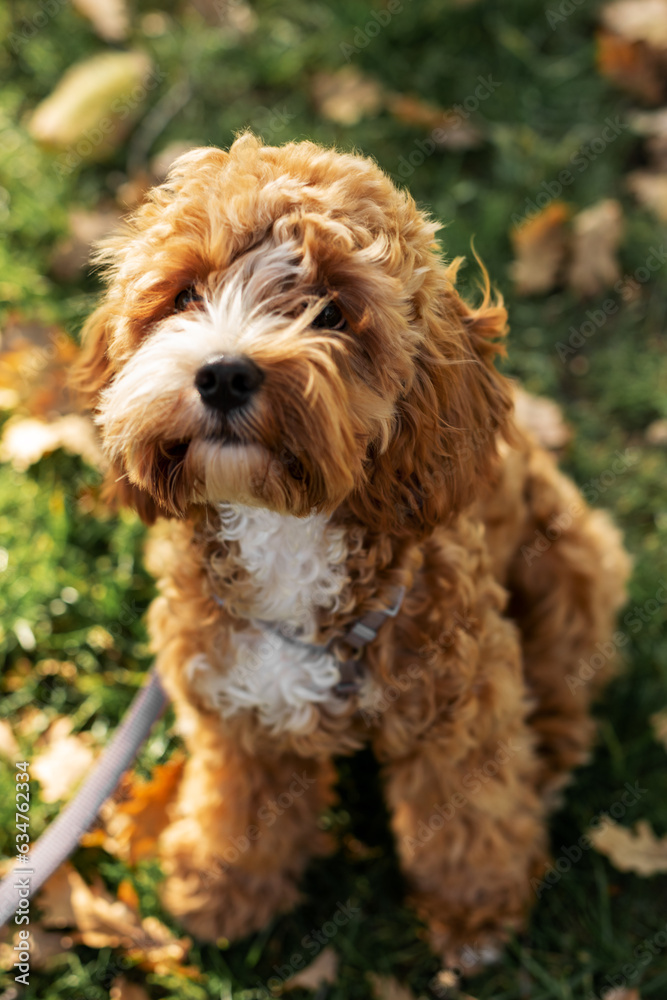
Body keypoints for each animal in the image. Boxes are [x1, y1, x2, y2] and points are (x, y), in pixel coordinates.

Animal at [74, 137, 632, 964]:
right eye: (183, 296)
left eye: (331, 311)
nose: (223, 373)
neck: (284, 528)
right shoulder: (234, 707)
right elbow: (237, 811)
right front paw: (224, 892)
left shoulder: (458, 710)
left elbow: (471, 822)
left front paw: (474, 914)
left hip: (573, 566)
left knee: (567, 681)